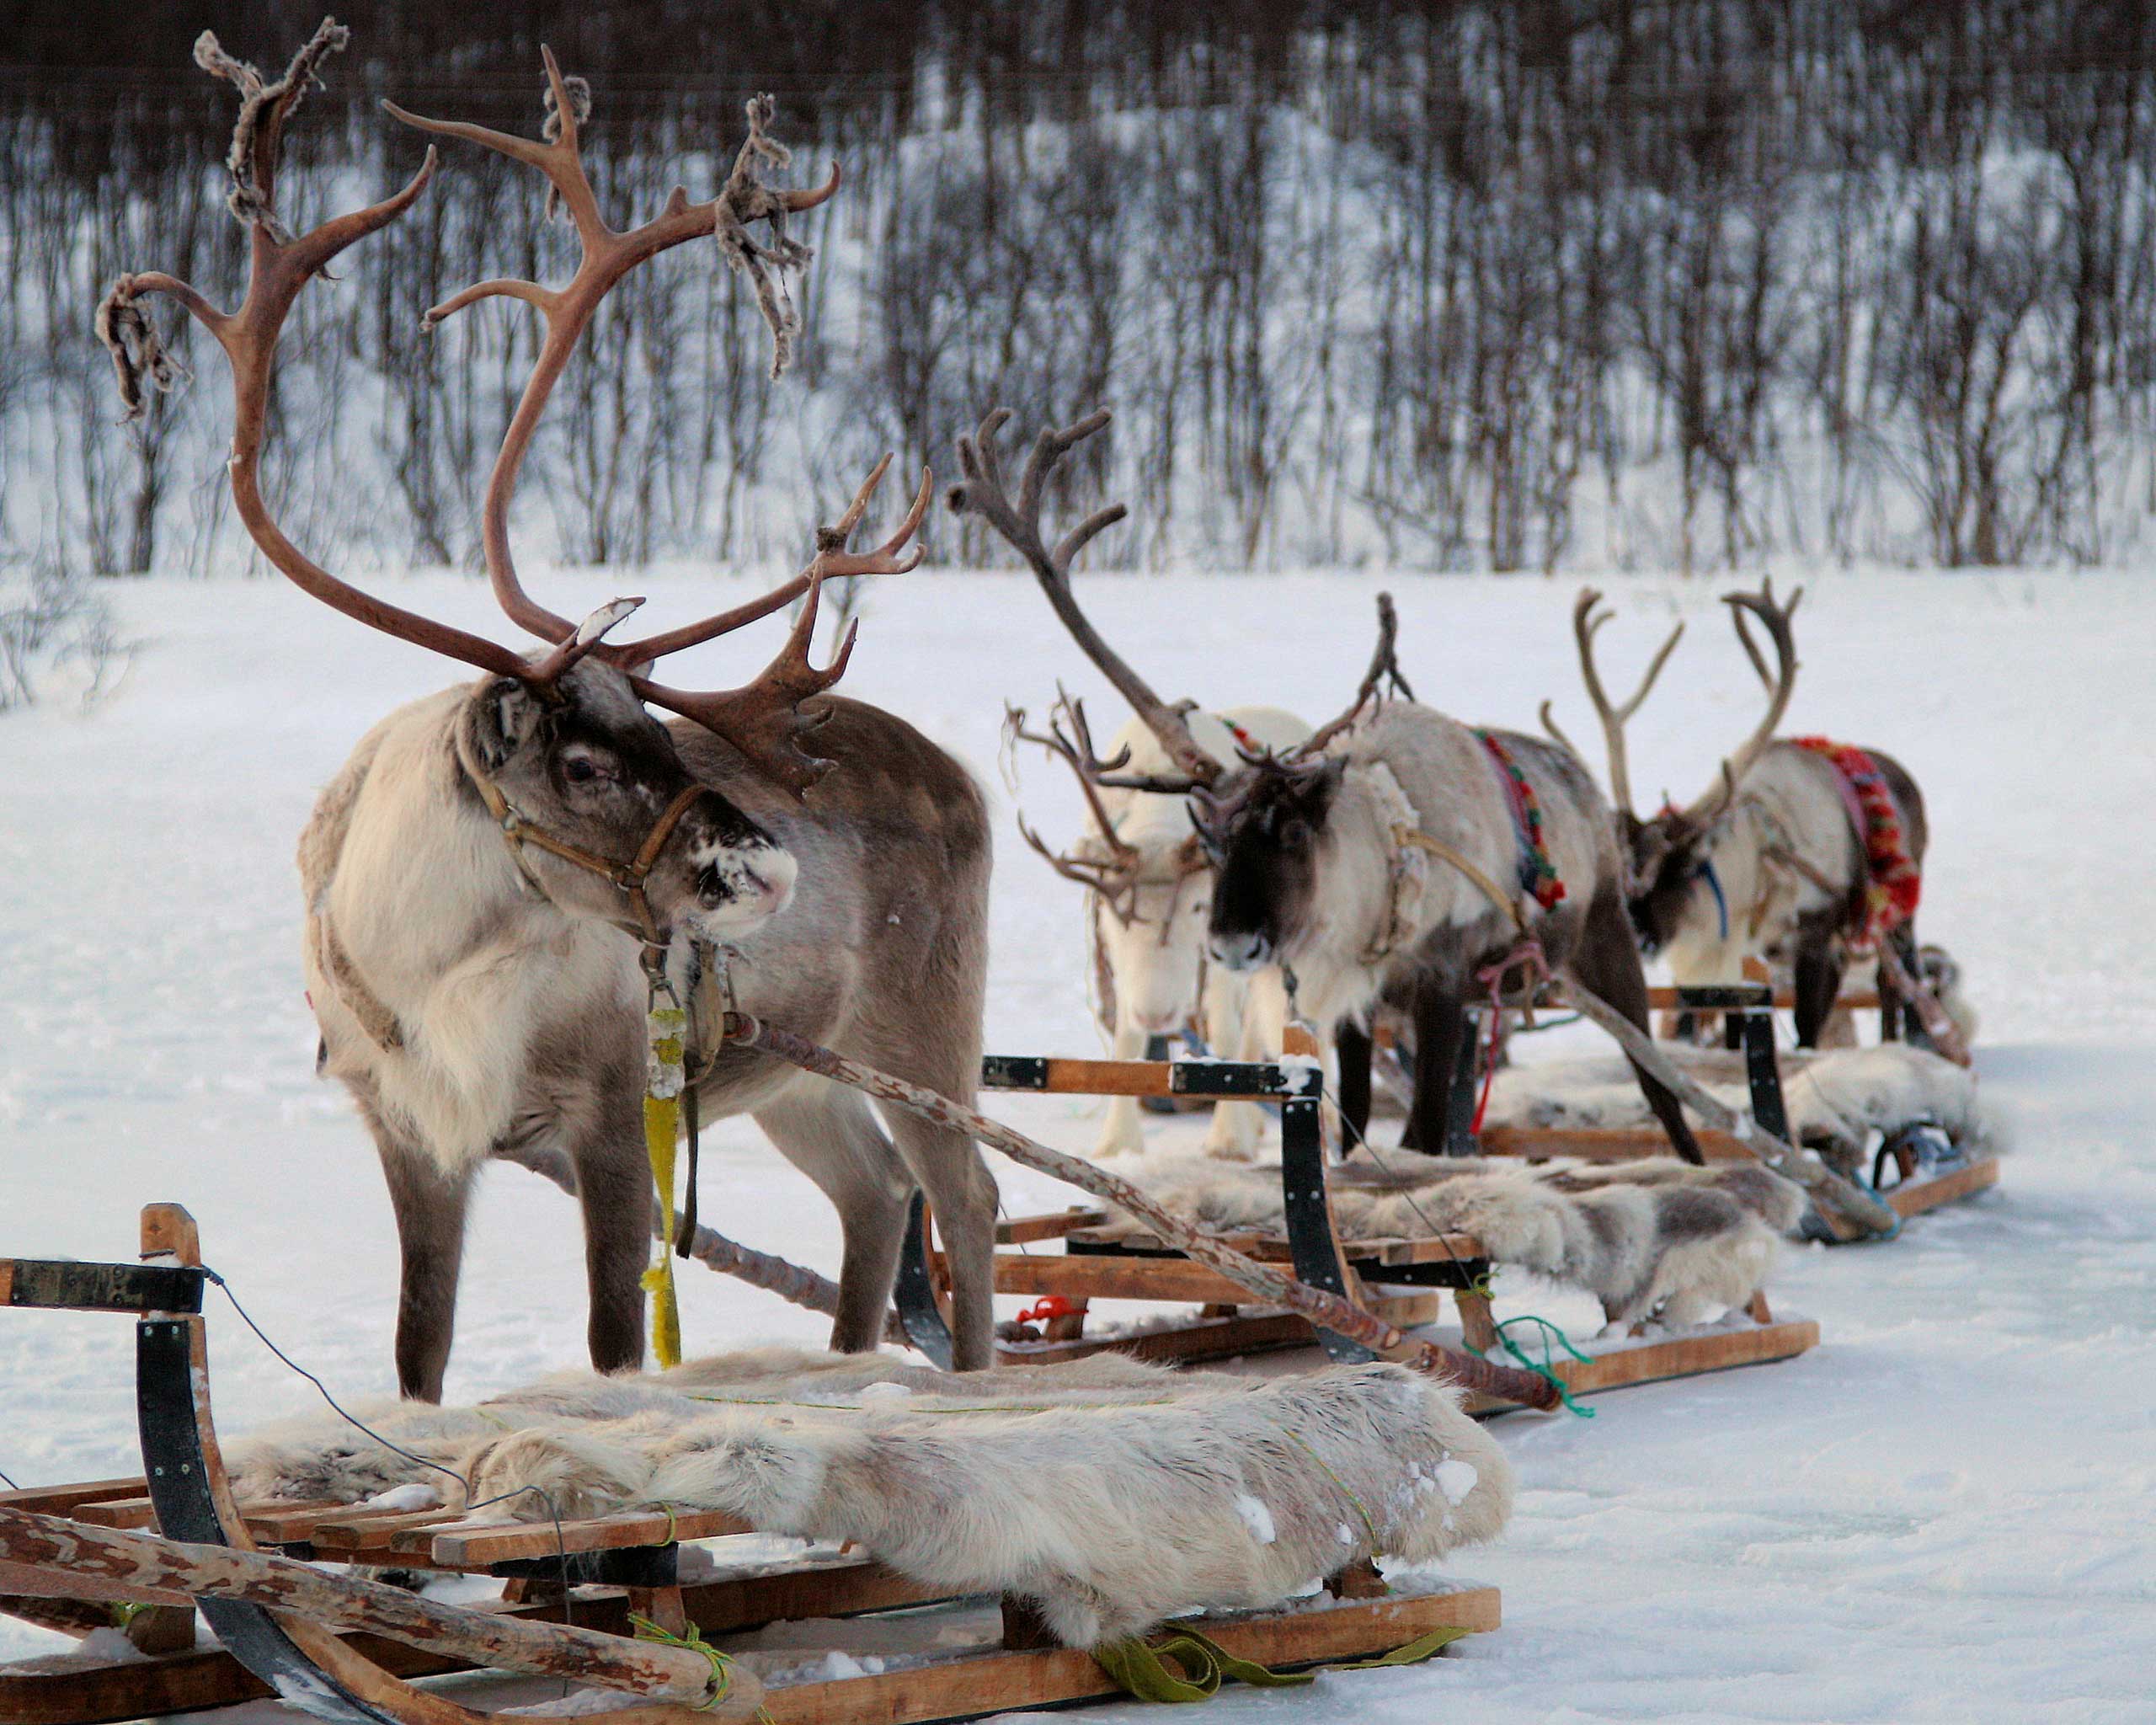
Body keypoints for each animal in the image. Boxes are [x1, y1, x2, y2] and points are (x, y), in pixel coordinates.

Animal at [100, 24, 1000, 1399]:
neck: (431, 960)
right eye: (580, 761)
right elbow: (418, 1351)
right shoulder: (405, 1127)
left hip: (923, 1033)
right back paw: (851, 1359)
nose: (768, 869)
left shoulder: (617, 1116)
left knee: (970, 1196)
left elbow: (614, 1342)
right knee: (875, 1196)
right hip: (796, 1074)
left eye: (657, 728)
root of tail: (962, 777)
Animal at [1007, 691, 1309, 1160]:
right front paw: (1117, 1142)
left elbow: (1226, 1034)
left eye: (1199, 907)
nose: (1158, 1014)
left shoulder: (1229, 946)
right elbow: (1125, 1040)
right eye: (1114, 912)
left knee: (1254, 1026)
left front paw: (1228, 1139)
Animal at [1551, 581, 1930, 1050]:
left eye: (1685, 868)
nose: (1638, 936)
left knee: (1895, 980)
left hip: (1901, 908)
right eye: (1619, 870)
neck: (1759, 865)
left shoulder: (1817, 936)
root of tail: (1904, 776)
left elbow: (1807, 1026)